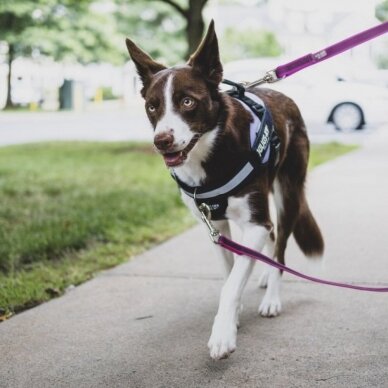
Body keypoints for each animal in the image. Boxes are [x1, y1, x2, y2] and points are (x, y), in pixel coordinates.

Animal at [126, 22, 322, 360]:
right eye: (152, 107)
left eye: (187, 102)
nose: (161, 141)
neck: (208, 154)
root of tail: (283, 95)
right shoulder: (215, 223)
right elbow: (231, 272)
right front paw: (233, 314)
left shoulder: (254, 223)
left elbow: (232, 283)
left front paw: (222, 334)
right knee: (271, 238)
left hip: (288, 191)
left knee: (281, 242)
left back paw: (272, 295)